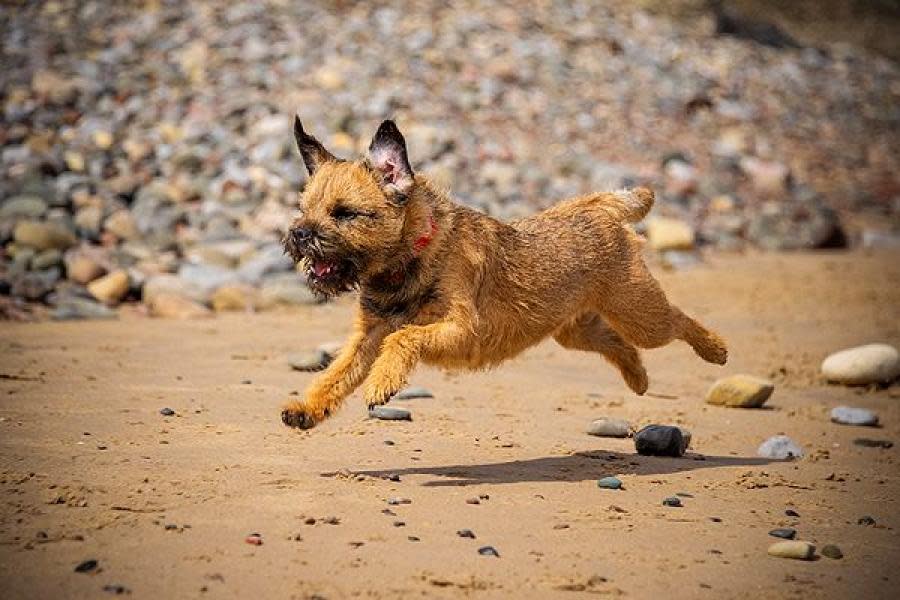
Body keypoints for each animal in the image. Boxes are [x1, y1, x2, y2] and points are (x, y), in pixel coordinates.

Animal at [278, 117, 728, 426]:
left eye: (344, 213)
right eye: (303, 209)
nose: (299, 233)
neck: (414, 256)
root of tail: (598, 207)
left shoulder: (462, 328)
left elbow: (404, 338)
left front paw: (382, 380)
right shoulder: (366, 338)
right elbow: (334, 374)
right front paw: (308, 407)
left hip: (639, 313)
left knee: (676, 320)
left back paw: (715, 349)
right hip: (575, 330)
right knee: (618, 344)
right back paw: (638, 378)